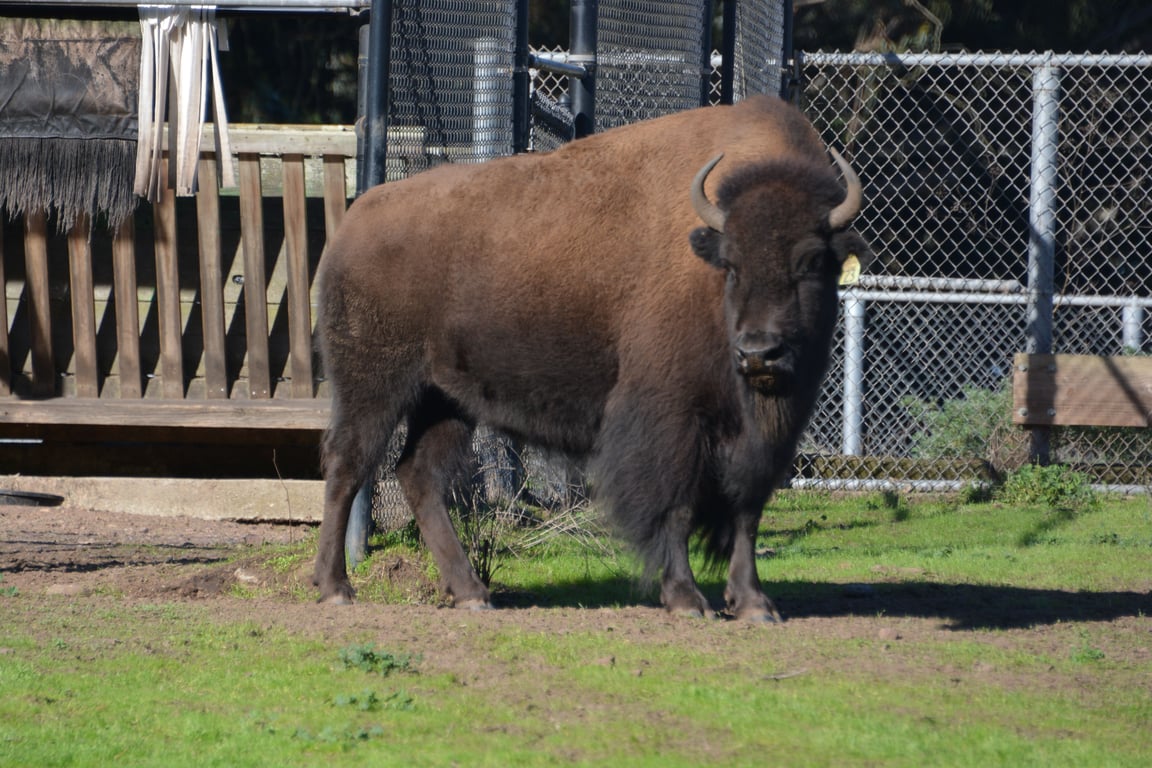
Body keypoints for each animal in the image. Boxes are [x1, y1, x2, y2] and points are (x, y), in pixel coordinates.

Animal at [313, 94, 872, 621]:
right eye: (731, 264)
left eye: (811, 262)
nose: (759, 353)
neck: (706, 273)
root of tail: (353, 223)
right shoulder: (670, 418)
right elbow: (676, 505)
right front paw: (687, 599)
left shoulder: (762, 437)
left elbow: (746, 512)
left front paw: (755, 604)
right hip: (372, 386)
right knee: (347, 465)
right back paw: (335, 587)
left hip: (446, 400)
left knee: (419, 474)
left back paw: (472, 593)